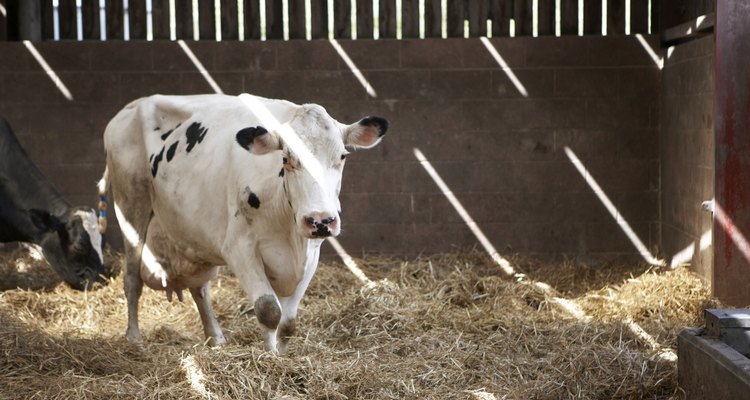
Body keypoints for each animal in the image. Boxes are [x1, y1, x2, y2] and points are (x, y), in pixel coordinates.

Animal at [100, 94, 390, 354]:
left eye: (342, 156)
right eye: (286, 159)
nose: (320, 220)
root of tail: (132, 106)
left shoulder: (312, 252)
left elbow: (289, 322)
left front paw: (284, 356)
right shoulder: (240, 248)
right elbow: (269, 310)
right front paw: (270, 358)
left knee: (200, 288)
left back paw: (215, 338)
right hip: (131, 206)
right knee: (132, 277)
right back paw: (134, 340)